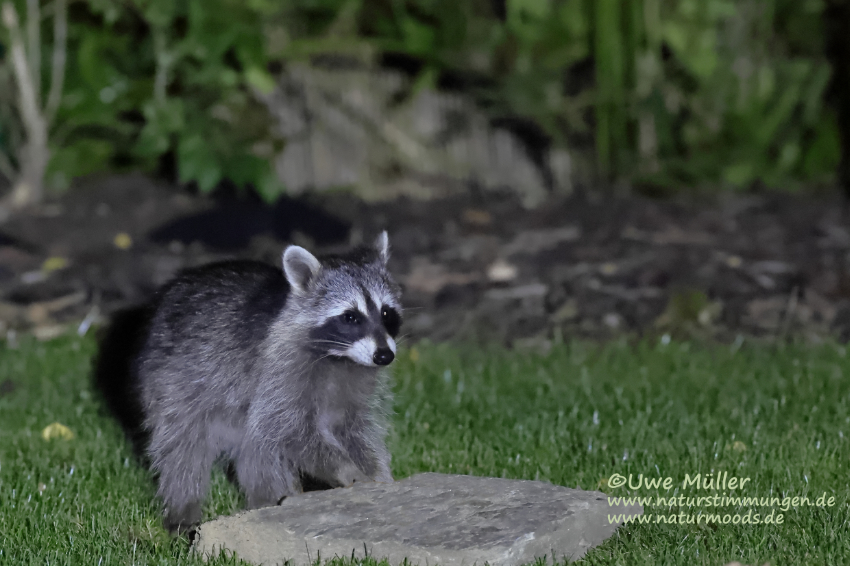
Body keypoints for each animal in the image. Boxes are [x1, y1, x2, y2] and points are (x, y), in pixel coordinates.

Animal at [136, 233, 400, 536]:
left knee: (256, 452)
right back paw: (184, 509)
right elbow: (290, 430)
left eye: (386, 313)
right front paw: (345, 469)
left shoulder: (356, 385)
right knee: (183, 450)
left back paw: (269, 502)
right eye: (351, 317)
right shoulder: (277, 372)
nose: (384, 356)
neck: (339, 357)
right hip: (174, 383)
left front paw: (377, 472)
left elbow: (355, 430)